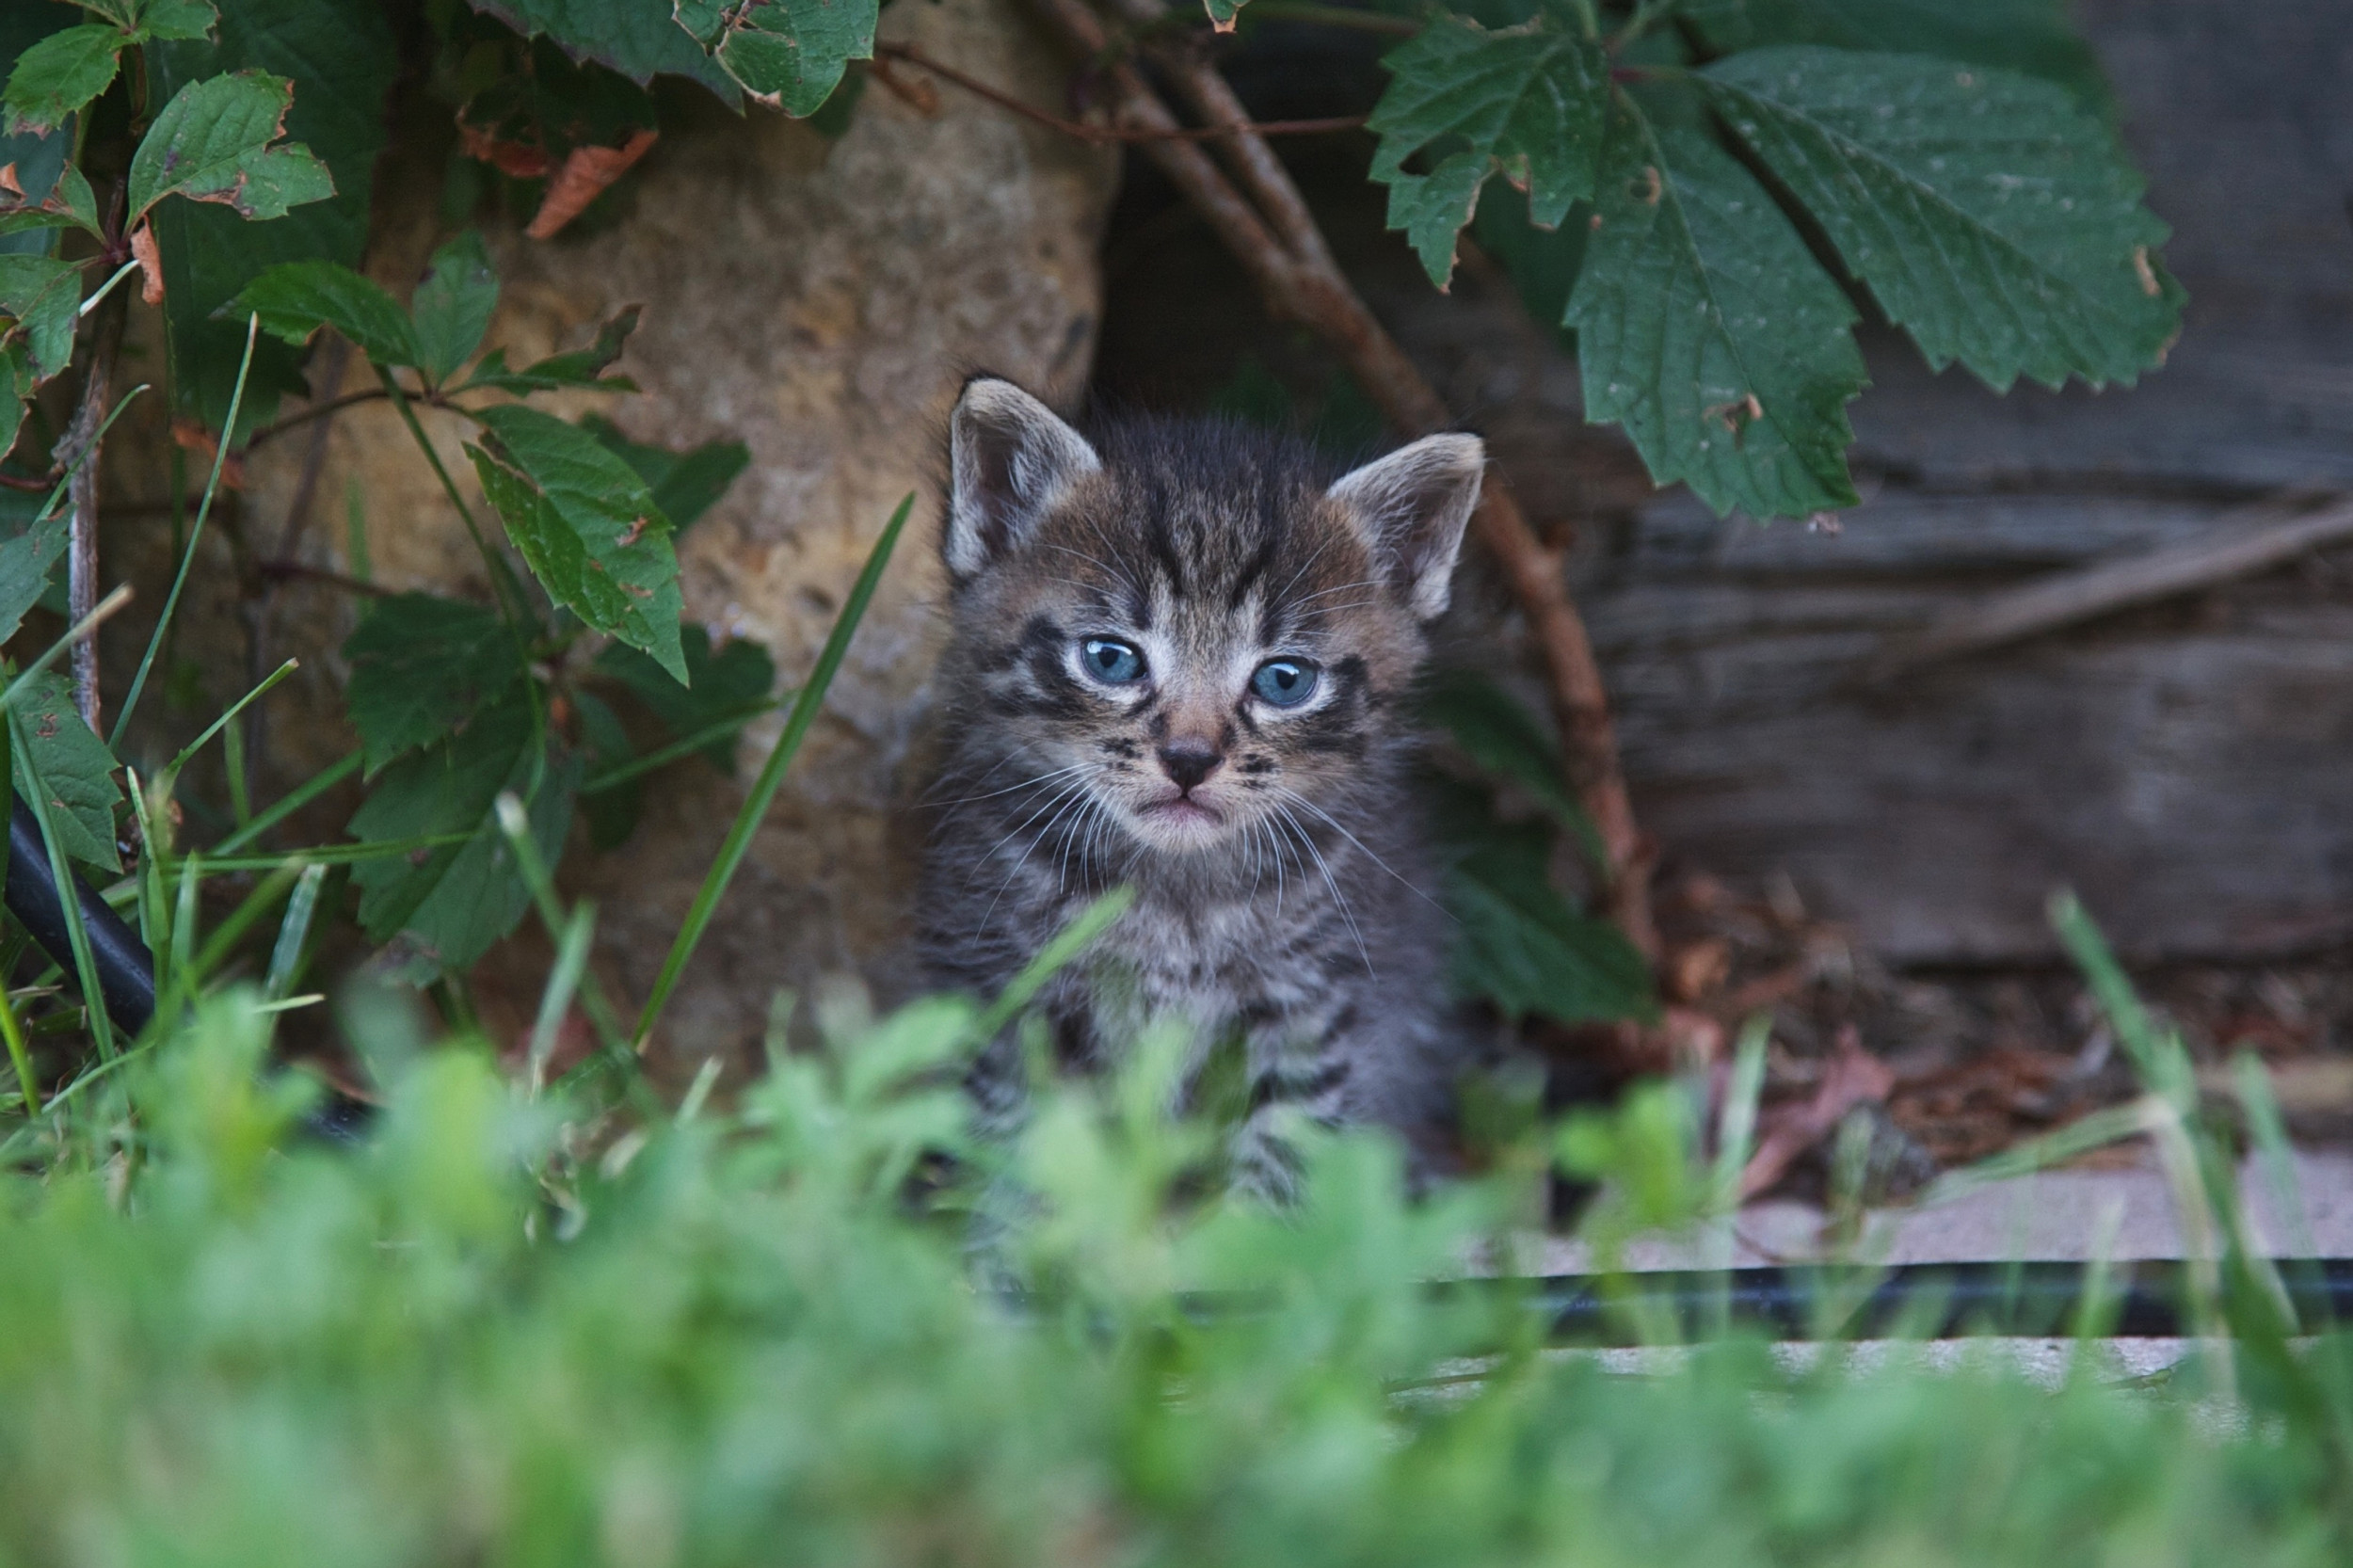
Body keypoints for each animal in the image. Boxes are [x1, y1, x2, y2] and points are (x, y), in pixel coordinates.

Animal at [908, 376, 1478, 1186]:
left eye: (1283, 680)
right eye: (1110, 659)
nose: (1188, 758)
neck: (1175, 904)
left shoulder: (1308, 1010)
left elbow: (1281, 1162)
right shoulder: (1009, 995)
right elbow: (1016, 1155)